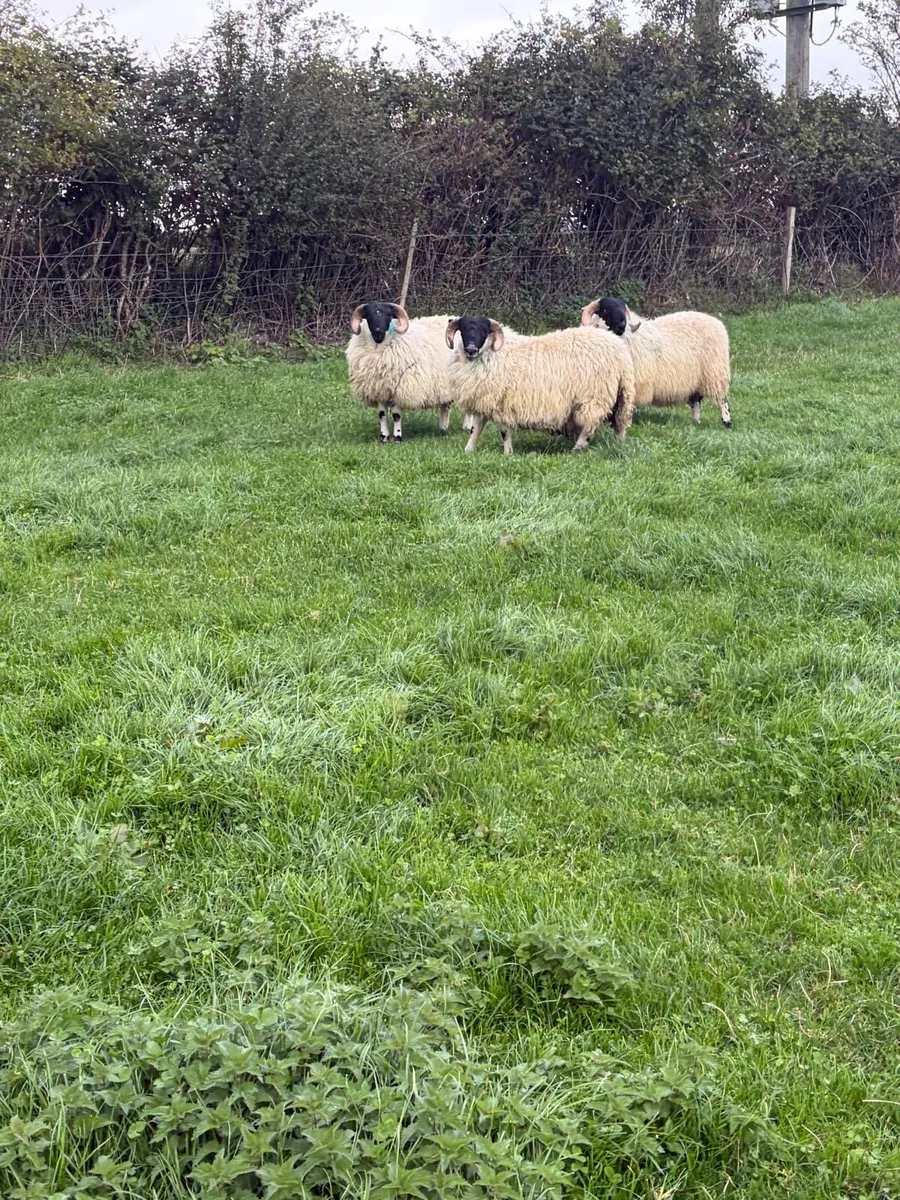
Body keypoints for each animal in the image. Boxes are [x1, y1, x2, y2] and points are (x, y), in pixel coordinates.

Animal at [345, 302, 454, 443]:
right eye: (368, 316)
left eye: (388, 315)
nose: (378, 332)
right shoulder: (379, 389)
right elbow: (382, 415)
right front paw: (383, 437)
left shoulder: (399, 388)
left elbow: (396, 416)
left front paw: (397, 437)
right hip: (444, 386)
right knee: (445, 406)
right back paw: (443, 428)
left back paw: (467, 427)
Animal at [445, 315, 635, 454]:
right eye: (463, 329)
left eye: (484, 330)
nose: (471, 349)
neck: (494, 354)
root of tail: (620, 350)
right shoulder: (485, 400)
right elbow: (475, 429)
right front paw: (468, 451)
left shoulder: (502, 403)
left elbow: (504, 431)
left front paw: (508, 453)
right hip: (619, 396)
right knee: (619, 422)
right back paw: (618, 444)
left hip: (594, 396)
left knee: (590, 425)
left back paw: (577, 448)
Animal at [581, 297, 732, 428]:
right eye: (605, 310)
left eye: (623, 308)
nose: (622, 325)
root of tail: (716, 322)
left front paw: (625, 424)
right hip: (696, 379)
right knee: (696, 401)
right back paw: (695, 422)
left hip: (715, 373)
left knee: (722, 399)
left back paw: (727, 422)